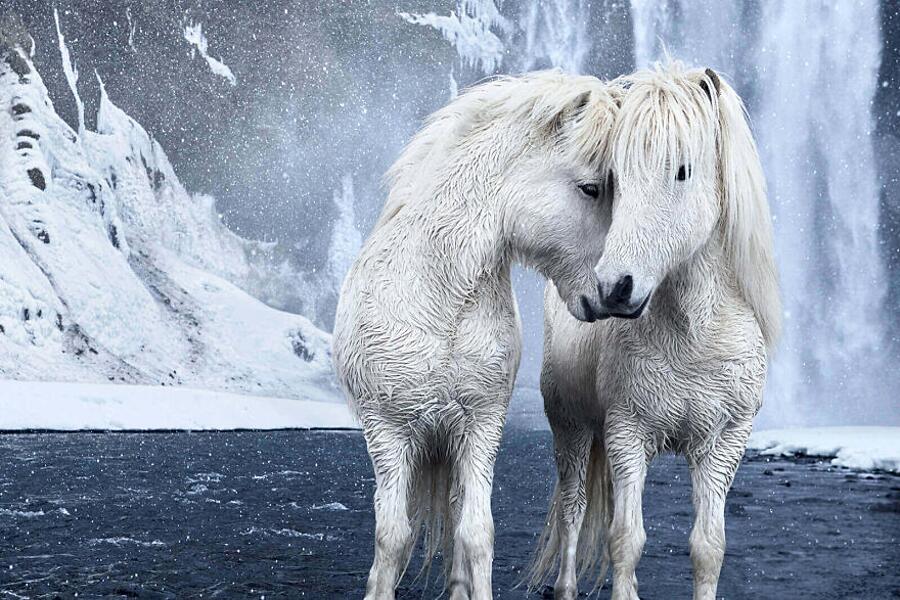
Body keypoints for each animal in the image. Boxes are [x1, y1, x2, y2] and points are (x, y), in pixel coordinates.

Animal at [330, 71, 620, 600]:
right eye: (591, 188)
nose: (615, 292)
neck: (439, 299)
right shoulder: (387, 432)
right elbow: (392, 536)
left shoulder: (481, 427)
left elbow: (476, 532)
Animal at [536, 62, 780, 600]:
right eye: (615, 177)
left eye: (682, 170)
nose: (614, 287)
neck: (693, 338)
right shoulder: (627, 435)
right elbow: (626, 540)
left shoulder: (722, 446)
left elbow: (708, 547)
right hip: (572, 430)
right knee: (572, 510)